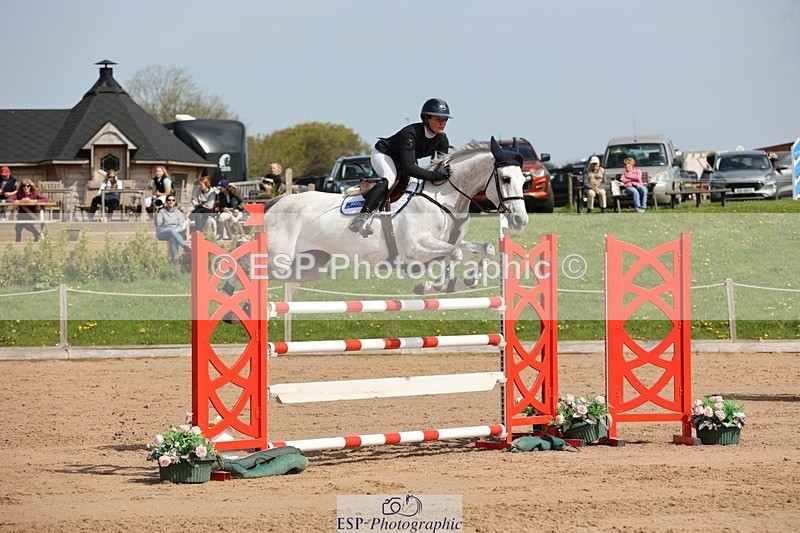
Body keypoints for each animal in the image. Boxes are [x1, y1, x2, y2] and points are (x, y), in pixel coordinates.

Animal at [261, 137, 529, 294]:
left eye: (524, 180)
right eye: (506, 179)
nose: (520, 221)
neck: (443, 198)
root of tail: (278, 201)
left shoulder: (447, 242)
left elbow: (482, 249)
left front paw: (467, 280)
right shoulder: (415, 248)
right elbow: (455, 254)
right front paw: (435, 284)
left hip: (309, 265)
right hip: (278, 259)